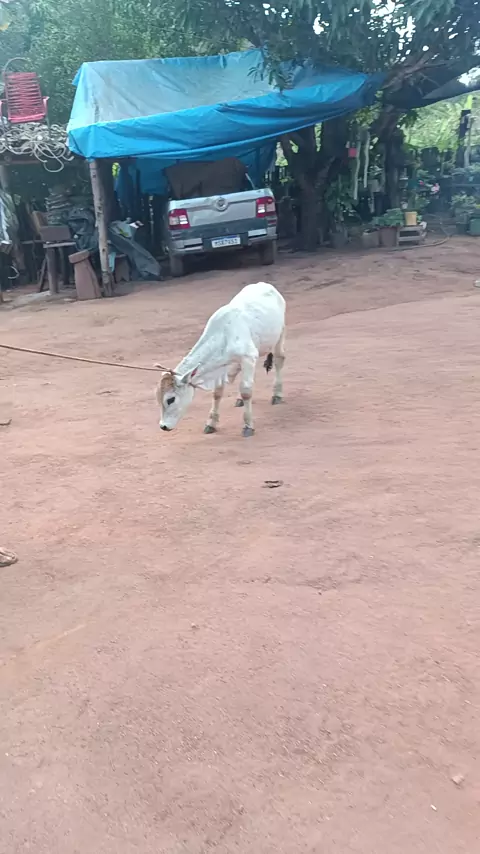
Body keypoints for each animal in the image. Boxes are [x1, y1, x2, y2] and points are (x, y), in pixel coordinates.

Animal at [156, 282, 286, 437]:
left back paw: (277, 394)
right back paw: (239, 399)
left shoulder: (248, 357)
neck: (223, 335)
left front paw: (248, 425)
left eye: (171, 399)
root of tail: (265, 284)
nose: (163, 426)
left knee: (279, 359)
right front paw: (211, 423)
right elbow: (217, 393)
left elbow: (246, 391)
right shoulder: (222, 366)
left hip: (280, 334)